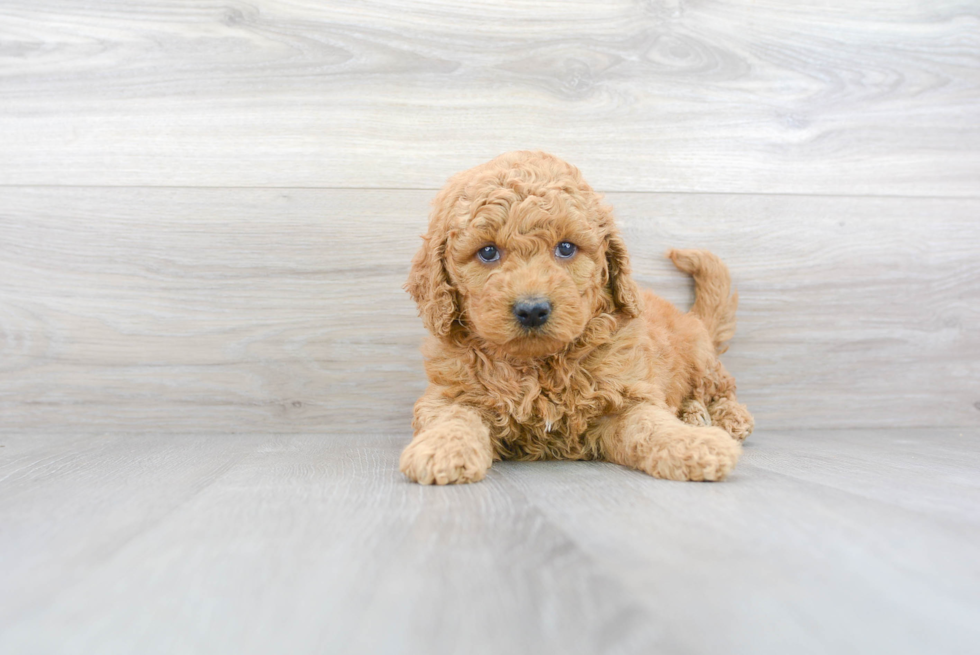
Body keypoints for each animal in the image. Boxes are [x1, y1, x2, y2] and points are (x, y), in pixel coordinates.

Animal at [398, 151, 752, 484]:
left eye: (566, 248)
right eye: (487, 252)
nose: (532, 310)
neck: (539, 367)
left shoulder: (625, 398)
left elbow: (652, 425)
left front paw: (695, 445)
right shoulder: (450, 394)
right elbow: (453, 418)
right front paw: (442, 449)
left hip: (701, 358)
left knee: (721, 389)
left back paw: (720, 419)